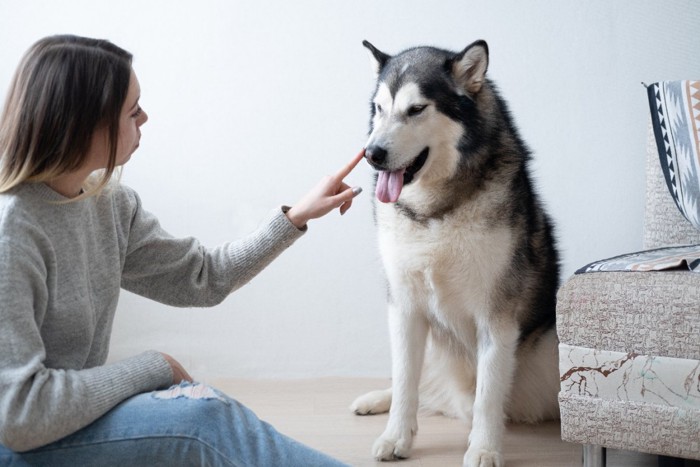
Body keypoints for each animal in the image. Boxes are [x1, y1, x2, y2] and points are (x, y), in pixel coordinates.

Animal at [352, 41, 560, 467]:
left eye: (416, 109)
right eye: (379, 108)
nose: (371, 153)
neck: (434, 211)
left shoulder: (497, 316)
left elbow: (487, 396)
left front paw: (484, 448)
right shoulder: (404, 307)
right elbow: (405, 381)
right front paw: (396, 437)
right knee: (414, 384)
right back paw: (375, 399)